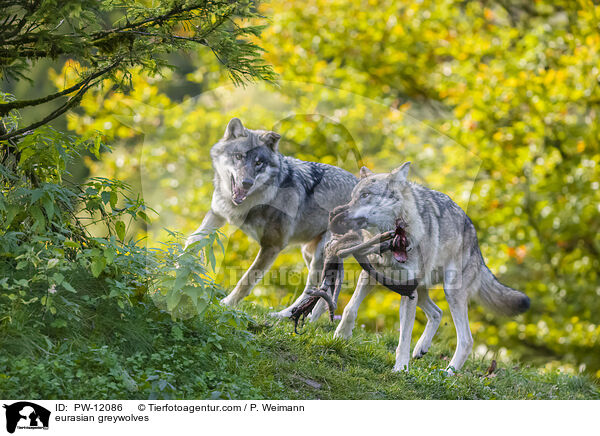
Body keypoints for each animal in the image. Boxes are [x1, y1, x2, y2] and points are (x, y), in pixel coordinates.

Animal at [184, 117, 356, 316]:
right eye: (239, 157)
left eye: (259, 163)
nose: (247, 183)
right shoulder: (218, 215)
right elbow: (192, 240)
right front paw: (177, 268)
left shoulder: (272, 246)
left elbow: (247, 279)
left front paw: (227, 304)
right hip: (309, 252)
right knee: (326, 290)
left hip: (320, 254)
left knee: (312, 289)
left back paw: (284, 316)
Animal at [328, 162, 528, 372]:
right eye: (353, 197)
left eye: (366, 195)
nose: (337, 213)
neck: (393, 241)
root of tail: (475, 241)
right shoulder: (372, 274)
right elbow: (350, 308)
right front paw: (340, 336)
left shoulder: (408, 291)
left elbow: (404, 338)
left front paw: (400, 369)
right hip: (422, 291)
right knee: (437, 312)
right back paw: (422, 348)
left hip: (450, 292)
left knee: (466, 340)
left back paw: (449, 373)